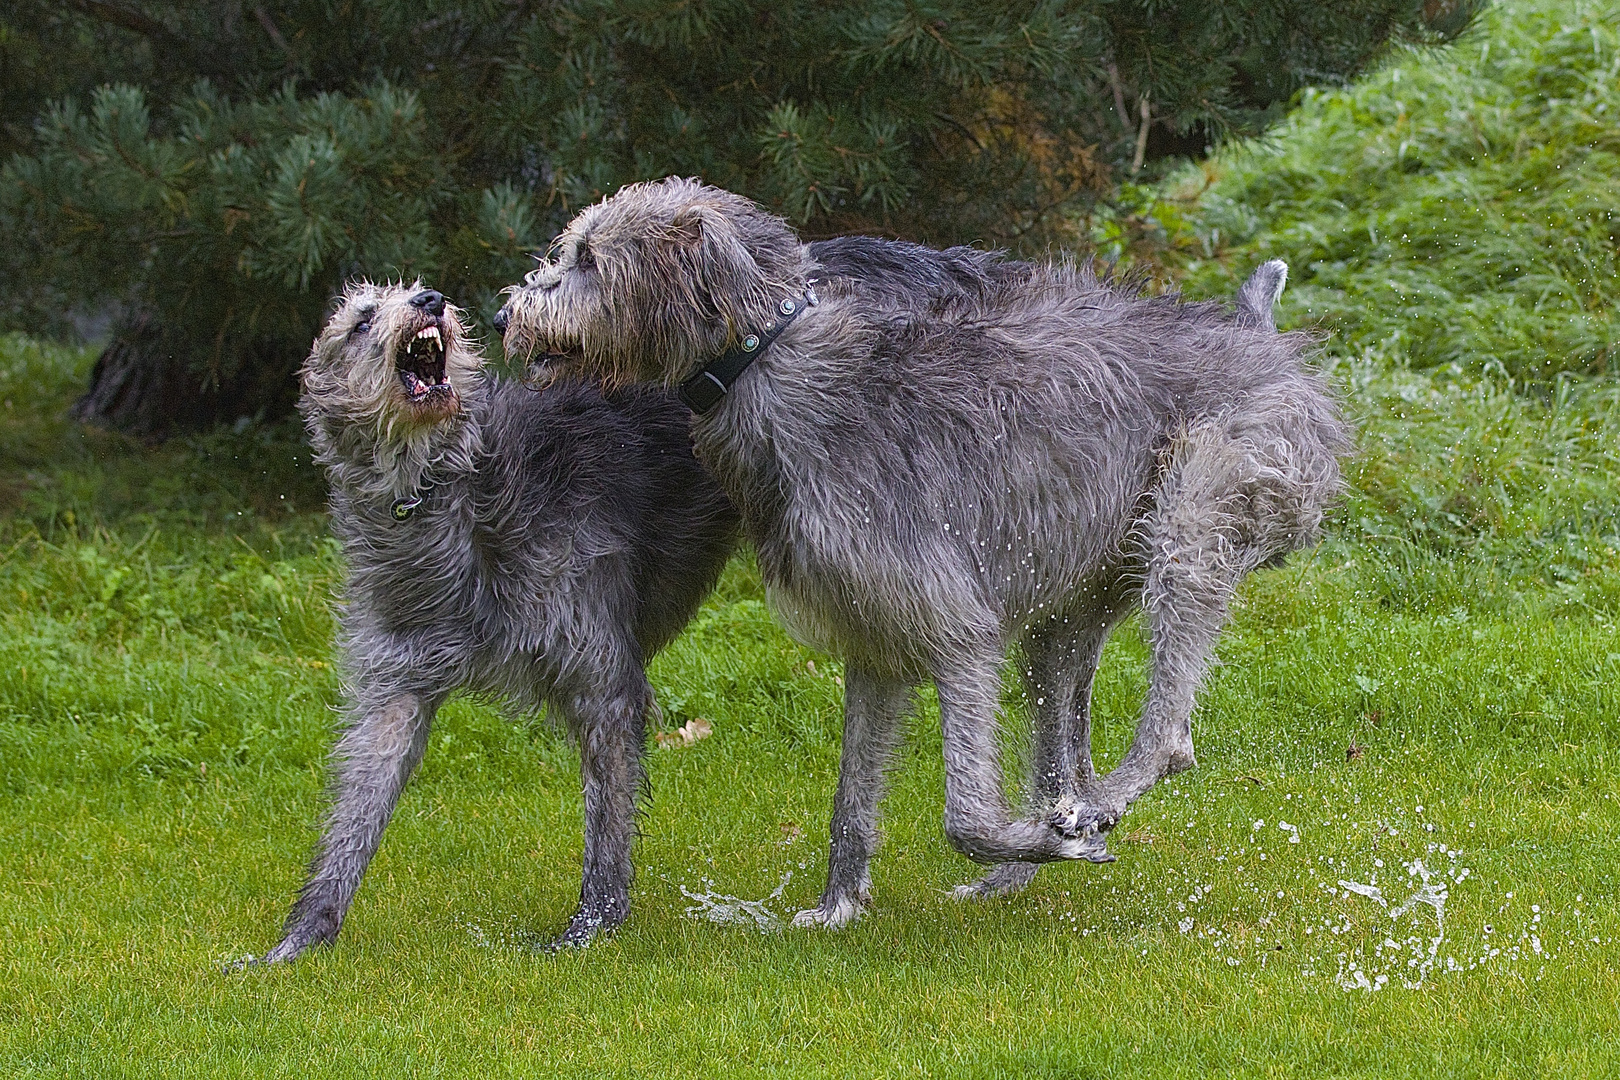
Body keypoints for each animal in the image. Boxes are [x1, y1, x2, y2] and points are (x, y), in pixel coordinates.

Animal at [262, 281, 738, 965]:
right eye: (361, 321)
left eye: (413, 291)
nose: (432, 300)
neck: (447, 492)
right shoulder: (398, 681)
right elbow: (359, 801)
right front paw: (301, 938)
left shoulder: (599, 673)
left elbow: (607, 813)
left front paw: (592, 927)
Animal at [495, 179, 1354, 932]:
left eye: (589, 259)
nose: (506, 310)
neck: (770, 362)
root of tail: (1261, 335)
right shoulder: (874, 641)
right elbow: (851, 797)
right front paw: (836, 910)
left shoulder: (959, 634)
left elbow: (966, 815)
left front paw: (1036, 839)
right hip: (1079, 601)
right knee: (1062, 733)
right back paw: (1034, 856)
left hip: (1193, 523)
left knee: (1168, 737)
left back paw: (1092, 809)